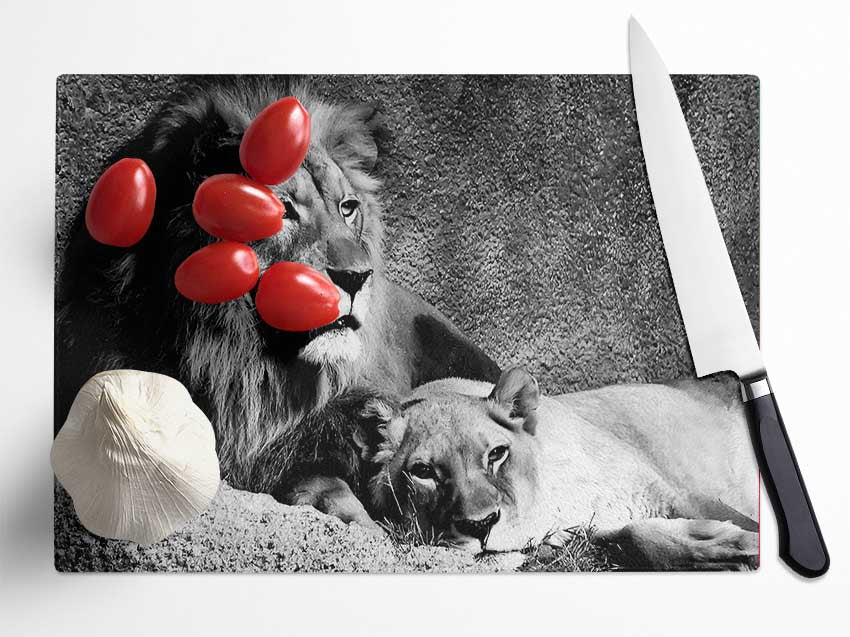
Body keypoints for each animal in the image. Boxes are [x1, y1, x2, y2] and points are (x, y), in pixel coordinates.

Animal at [355, 368, 759, 569]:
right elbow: (633, 537)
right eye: (423, 472)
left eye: (497, 454)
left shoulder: (670, 490)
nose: (480, 526)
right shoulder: (589, 531)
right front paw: (726, 549)